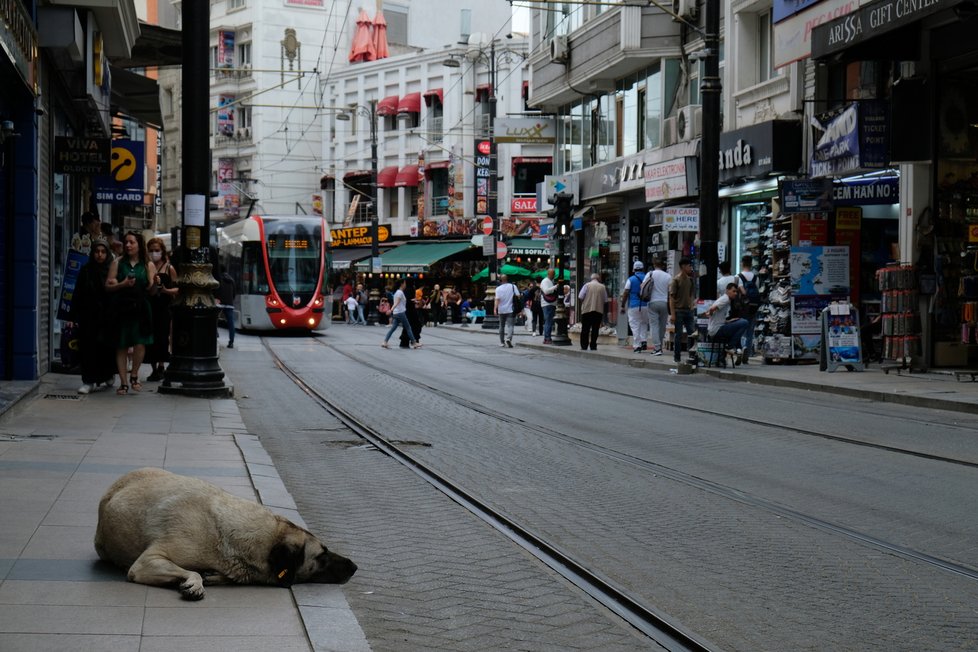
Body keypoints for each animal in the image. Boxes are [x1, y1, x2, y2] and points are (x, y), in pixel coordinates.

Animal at [92, 468, 354, 600]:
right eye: (321, 555)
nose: (355, 566)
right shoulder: (147, 562)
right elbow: (193, 571)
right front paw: (196, 581)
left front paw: (214, 576)